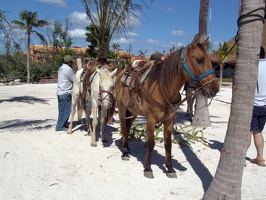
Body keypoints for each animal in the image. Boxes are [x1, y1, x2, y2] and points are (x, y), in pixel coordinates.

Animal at [114, 34, 218, 178]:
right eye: (200, 60)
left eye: (210, 61)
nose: (215, 88)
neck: (162, 88)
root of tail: (122, 71)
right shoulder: (151, 119)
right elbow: (150, 143)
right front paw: (148, 168)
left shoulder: (170, 120)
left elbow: (168, 144)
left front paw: (170, 168)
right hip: (122, 108)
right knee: (124, 127)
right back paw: (124, 152)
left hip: (133, 111)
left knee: (128, 127)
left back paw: (127, 147)